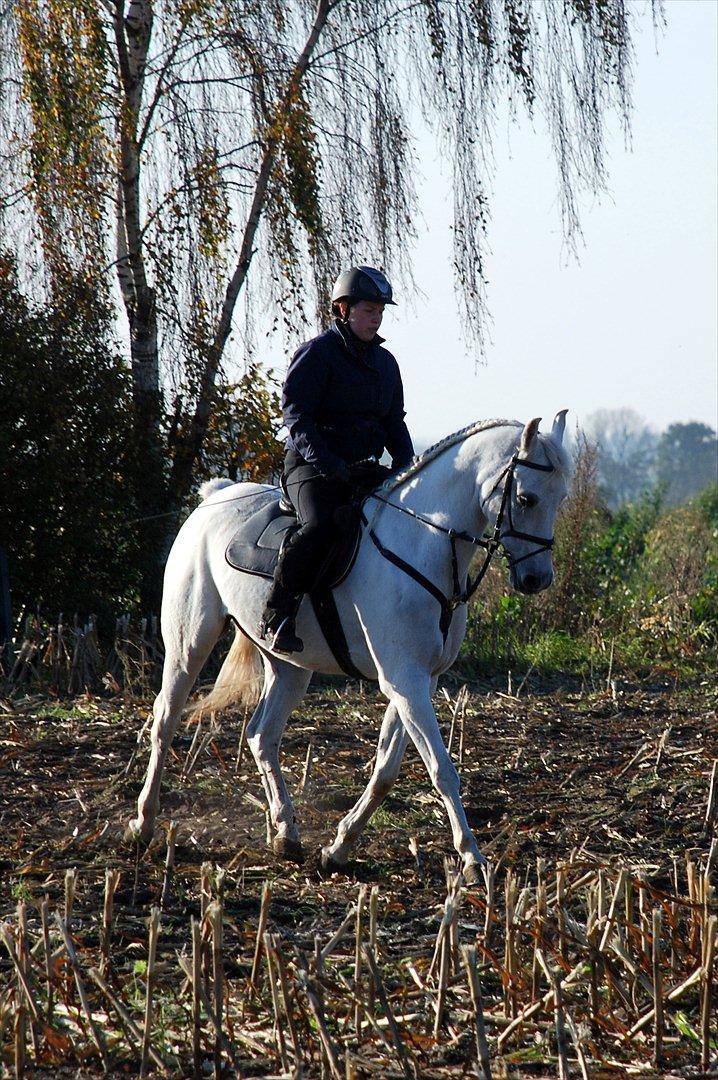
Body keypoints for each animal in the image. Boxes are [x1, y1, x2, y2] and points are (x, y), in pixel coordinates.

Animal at [125, 412, 570, 876]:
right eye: (526, 498)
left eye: (560, 498)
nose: (537, 579)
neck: (424, 540)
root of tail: (215, 497)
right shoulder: (404, 681)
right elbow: (441, 769)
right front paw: (471, 857)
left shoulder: (416, 682)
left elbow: (386, 770)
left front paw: (339, 847)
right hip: (188, 644)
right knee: (165, 721)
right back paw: (143, 824)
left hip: (288, 666)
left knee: (262, 735)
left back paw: (285, 834)